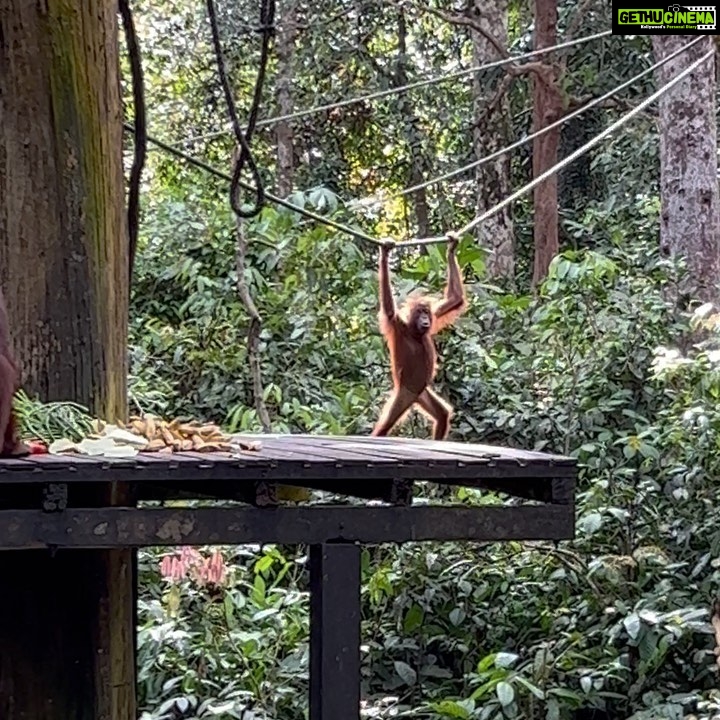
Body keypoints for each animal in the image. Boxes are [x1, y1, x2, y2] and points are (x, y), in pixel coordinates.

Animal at [372, 234, 467, 440]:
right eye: (420, 312)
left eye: (426, 312)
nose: (425, 319)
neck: (414, 332)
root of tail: (413, 397)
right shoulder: (396, 324)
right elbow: (389, 309)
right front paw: (385, 253)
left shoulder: (436, 314)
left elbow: (455, 299)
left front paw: (451, 246)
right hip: (404, 394)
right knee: (385, 426)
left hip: (423, 394)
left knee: (442, 414)